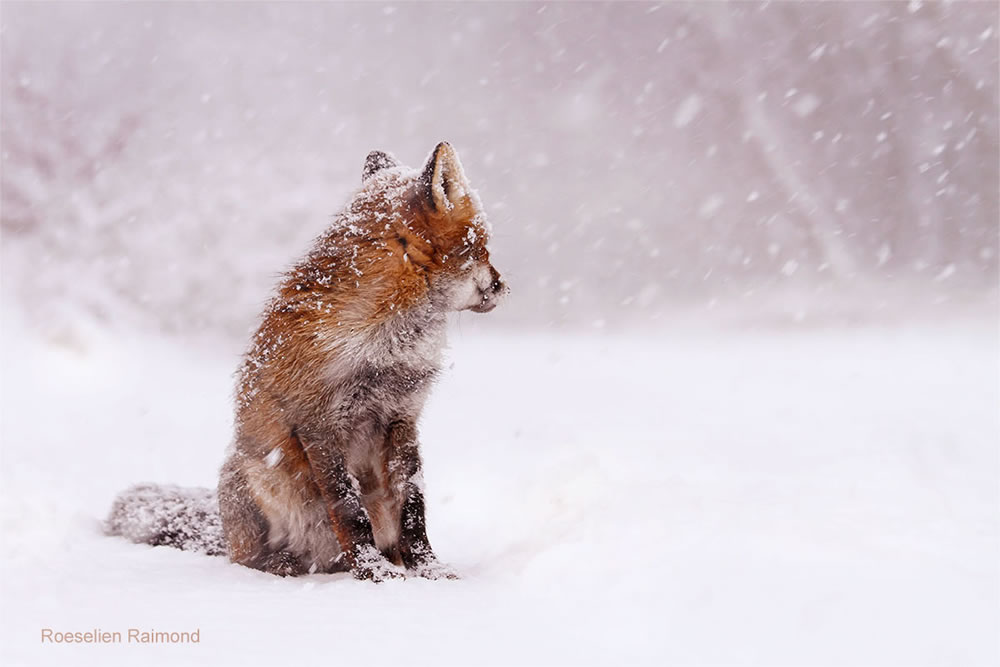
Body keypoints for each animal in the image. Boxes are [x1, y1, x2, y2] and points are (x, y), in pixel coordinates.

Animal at [107, 144, 508, 580]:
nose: (504, 286)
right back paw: (285, 563)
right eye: (484, 247)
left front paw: (428, 570)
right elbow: (349, 510)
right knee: (249, 559)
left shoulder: (403, 416)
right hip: (256, 474)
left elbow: (413, 508)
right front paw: (374, 574)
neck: (385, 342)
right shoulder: (318, 422)